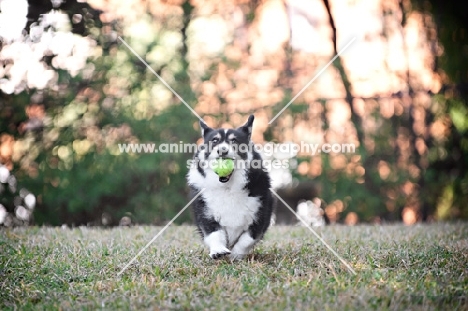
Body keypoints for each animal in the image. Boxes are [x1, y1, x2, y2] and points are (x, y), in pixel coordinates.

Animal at [186, 116, 274, 260]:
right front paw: (218, 251)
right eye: (214, 140)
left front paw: (235, 256)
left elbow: (246, 240)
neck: (227, 188)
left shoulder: (259, 218)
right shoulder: (206, 216)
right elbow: (214, 234)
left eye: (234, 140)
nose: (222, 150)